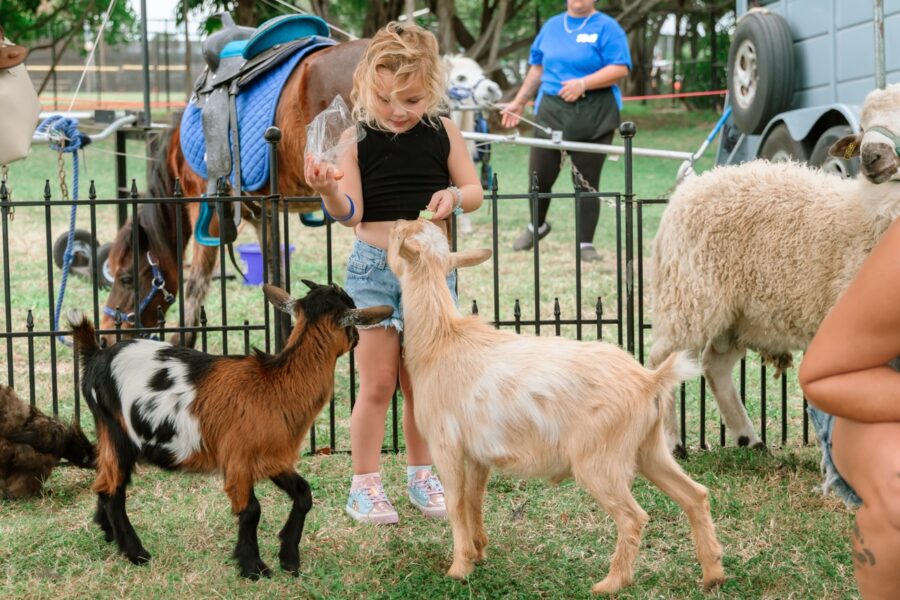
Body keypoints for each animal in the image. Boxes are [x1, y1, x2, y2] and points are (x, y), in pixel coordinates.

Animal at [68, 281, 392, 578]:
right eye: (351, 313)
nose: (359, 339)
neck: (277, 385)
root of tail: (95, 356)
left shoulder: (273, 458)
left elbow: (303, 493)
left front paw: (289, 558)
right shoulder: (238, 459)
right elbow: (251, 511)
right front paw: (253, 566)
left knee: (104, 481)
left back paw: (108, 532)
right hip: (118, 432)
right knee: (114, 490)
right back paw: (136, 552)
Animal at [386, 218, 725, 595]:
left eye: (399, 235)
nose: (395, 222)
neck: (440, 339)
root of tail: (648, 380)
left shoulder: (446, 443)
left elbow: (455, 501)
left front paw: (459, 568)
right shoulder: (478, 452)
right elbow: (475, 498)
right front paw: (479, 550)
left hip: (599, 460)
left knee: (633, 517)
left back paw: (611, 583)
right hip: (649, 448)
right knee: (695, 495)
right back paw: (712, 574)